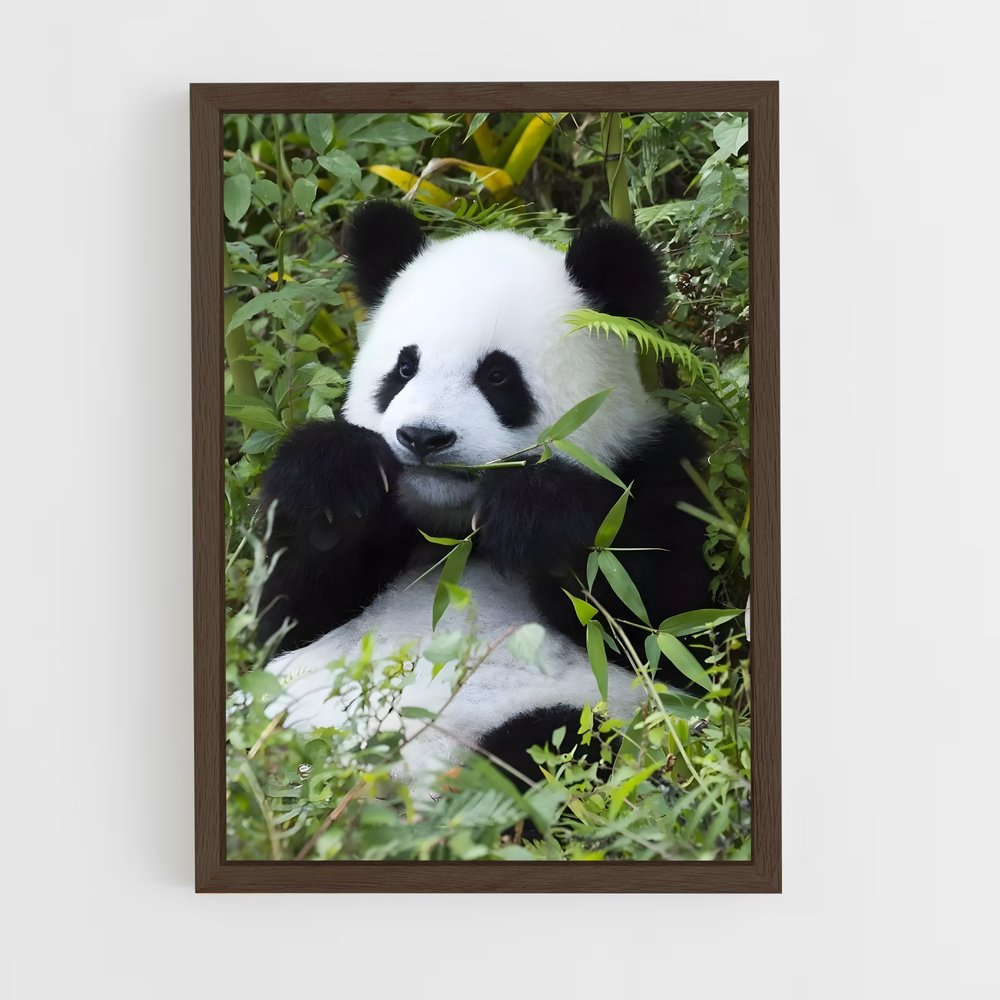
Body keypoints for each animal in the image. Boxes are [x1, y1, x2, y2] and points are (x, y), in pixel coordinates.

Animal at [259, 201, 712, 788]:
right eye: (404, 368)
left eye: (497, 376)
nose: (424, 437)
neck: (452, 531)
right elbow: (287, 617)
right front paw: (335, 475)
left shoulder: (652, 470)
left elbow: (663, 631)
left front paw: (532, 510)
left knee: (556, 743)